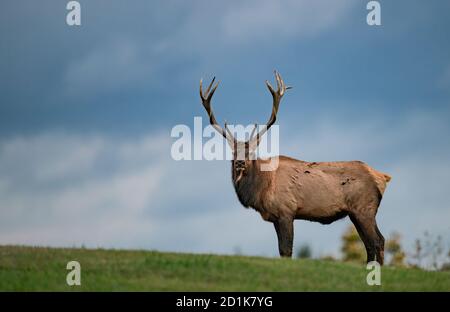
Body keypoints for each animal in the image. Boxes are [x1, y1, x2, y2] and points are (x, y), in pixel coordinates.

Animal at [200, 72, 390, 264]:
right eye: (233, 152)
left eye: (251, 152)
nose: (239, 162)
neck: (262, 188)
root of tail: (382, 177)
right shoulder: (277, 217)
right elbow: (281, 250)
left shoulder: (286, 211)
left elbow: (286, 250)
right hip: (356, 213)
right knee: (370, 244)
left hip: (364, 208)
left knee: (377, 241)